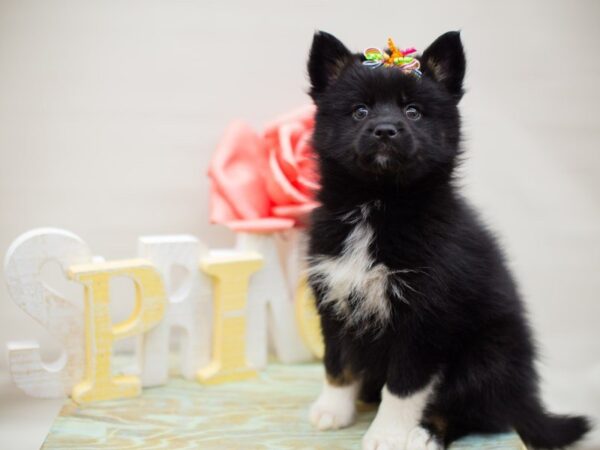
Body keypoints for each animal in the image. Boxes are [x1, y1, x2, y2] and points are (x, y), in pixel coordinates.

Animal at [304, 29, 592, 448]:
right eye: (359, 111)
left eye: (413, 112)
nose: (385, 130)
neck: (378, 204)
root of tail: (524, 398)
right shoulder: (334, 294)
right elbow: (337, 362)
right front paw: (332, 411)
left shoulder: (425, 316)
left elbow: (404, 384)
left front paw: (387, 434)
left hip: (488, 356)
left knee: (479, 410)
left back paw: (426, 433)